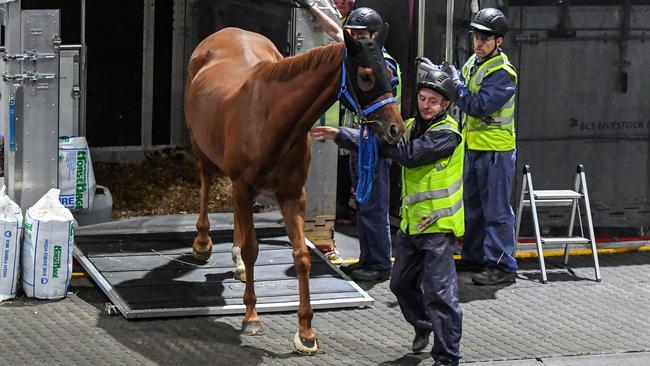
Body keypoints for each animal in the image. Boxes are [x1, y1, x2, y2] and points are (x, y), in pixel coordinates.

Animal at [182, 27, 402, 354]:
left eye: (390, 74)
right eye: (365, 76)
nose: (395, 129)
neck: (272, 118)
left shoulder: (292, 195)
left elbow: (302, 257)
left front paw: (306, 332)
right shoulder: (245, 186)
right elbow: (253, 249)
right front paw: (251, 317)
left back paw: (236, 262)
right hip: (203, 149)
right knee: (207, 182)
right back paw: (202, 243)